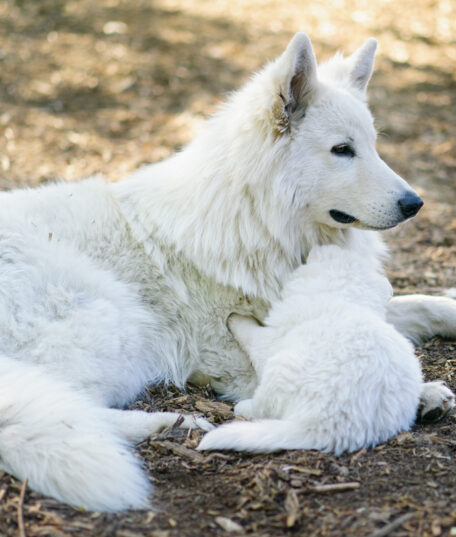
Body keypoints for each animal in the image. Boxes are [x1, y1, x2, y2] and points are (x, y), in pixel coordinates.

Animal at [199, 245, 442, 454]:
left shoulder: (268, 340)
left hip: (279, 371)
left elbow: (250, 332)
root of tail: (329, 428)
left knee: (264, 406)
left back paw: (243, 407)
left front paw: (235, 317)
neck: (342, 298)